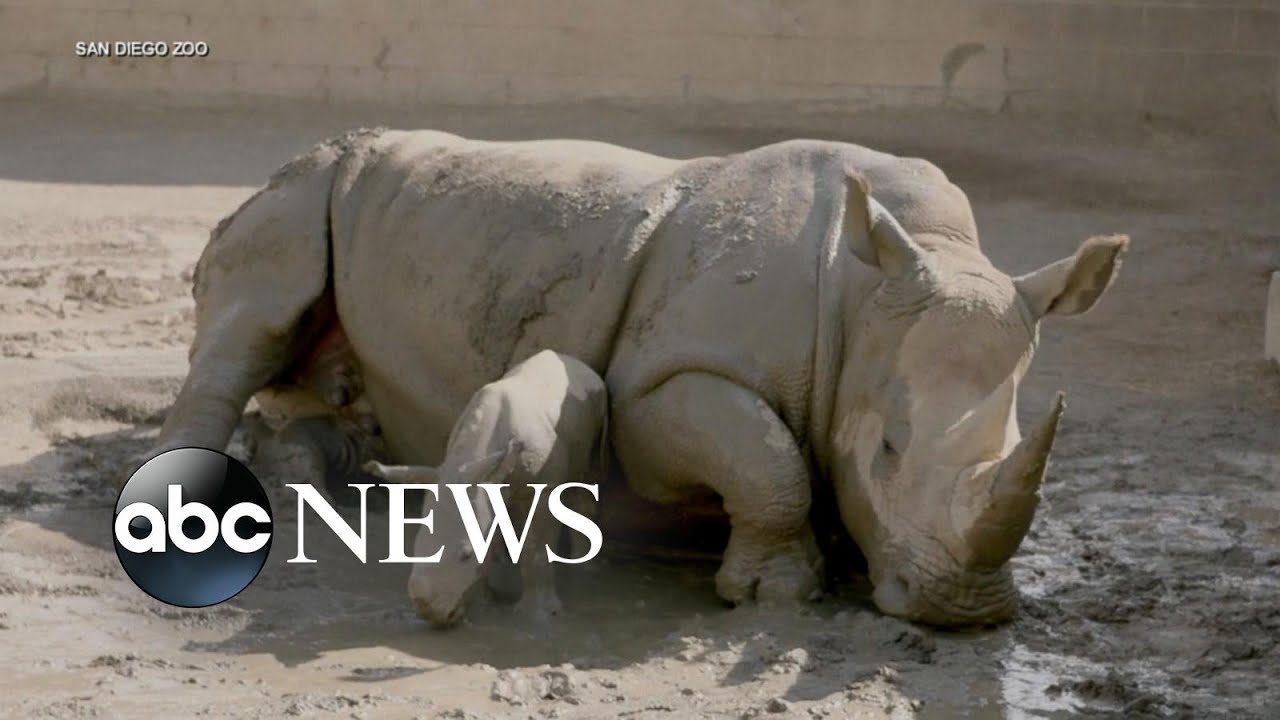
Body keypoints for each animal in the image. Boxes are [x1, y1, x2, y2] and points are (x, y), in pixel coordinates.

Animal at [363, 351, 606, 625]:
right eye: (415, 549)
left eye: (467, 555)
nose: (429, 612)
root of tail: (576, 362)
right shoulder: (484, 480)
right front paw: (485, 605)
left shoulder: (541, 488)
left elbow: (536, 549)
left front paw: (539, 616)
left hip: (594, 407)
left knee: (586, 481)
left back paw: (584, 571)